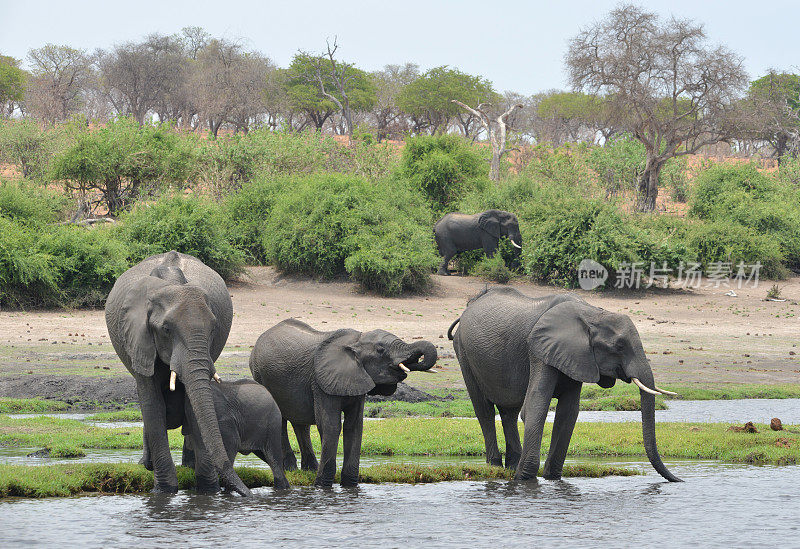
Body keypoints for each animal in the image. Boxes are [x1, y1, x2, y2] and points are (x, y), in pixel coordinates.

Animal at [105, 250, 250, 494]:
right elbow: (152, 405)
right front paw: (165, 490)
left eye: (214, 329)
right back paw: (145, 465)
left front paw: (208, 490)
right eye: (166, 329)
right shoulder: (139, 337)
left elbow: (193, 404)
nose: (248, 493)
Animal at [250, 318, 438, 486]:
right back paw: (290, 469)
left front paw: (349, 485)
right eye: (380, 349)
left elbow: (354, 426)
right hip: (260, 374)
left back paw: (310, 470)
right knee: (281, 420)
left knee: (300, 423)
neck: (357, 341)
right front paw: (322, 485)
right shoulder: (321, 382)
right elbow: (330, 425)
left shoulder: (357, 378)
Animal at [446, 288, 680, 482]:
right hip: (463, 352)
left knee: (508, 412)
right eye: (619, 346)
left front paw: (551, 477)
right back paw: (496, 468)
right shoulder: (539, 350)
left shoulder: (576, 355)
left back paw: (510, 468)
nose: (678, 480)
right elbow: (535, 405)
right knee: (484, 410)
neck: (591, 313)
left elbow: (568, 412)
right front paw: (525, 478)